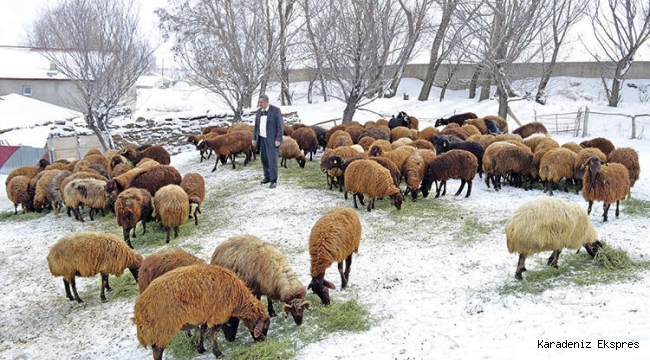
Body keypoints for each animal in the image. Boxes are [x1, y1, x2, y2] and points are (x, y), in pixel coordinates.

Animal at [133, 262, 270, 358]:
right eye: (264, 327)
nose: (262, 341)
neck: (239, 299)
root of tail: (139, 310)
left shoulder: (206, 313)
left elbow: (203, 330)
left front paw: (200, 348)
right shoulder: (216, 314)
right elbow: (213, 332)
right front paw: (218, 353)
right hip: (162, 329)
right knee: (157, 351)